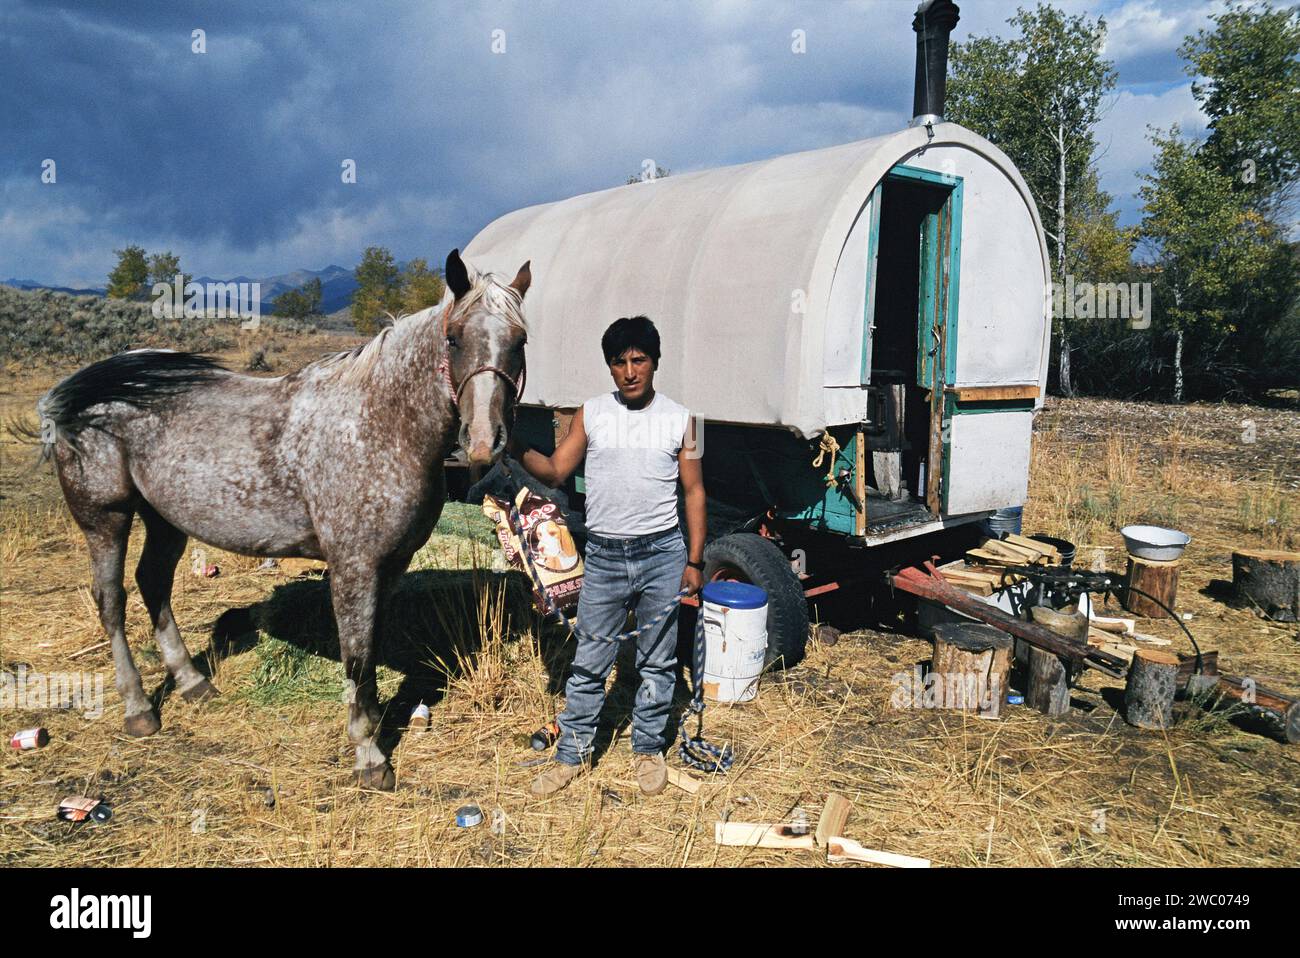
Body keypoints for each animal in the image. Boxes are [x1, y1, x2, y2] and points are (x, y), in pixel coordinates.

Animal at [39, 250, 527, 790]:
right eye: (454, 337)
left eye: (520, 341)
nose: (483, 441)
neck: (378, 422)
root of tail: (82, 388)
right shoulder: (354, 566)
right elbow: (357, 654)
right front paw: (369, 754)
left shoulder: (391, 565)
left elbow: (371, 646)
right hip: (105, 518)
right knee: (112, 602)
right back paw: (139, 709)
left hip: (165, 519)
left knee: (154, 585)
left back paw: (192, 683)